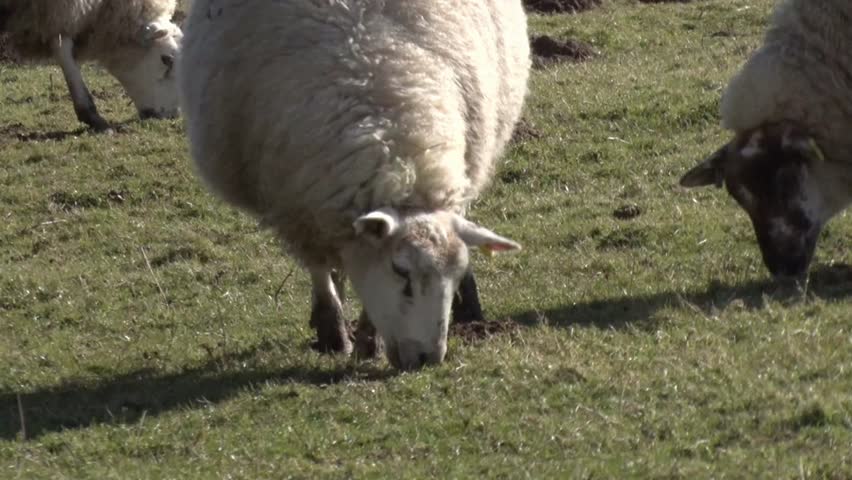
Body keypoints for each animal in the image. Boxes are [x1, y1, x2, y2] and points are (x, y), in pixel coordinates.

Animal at [178, 0, 530, 370]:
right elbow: (318, 267)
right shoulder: (297, 204)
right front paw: (333, 332)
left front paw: (368, 341)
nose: (427, 358)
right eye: (400, 270)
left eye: (456, 274)